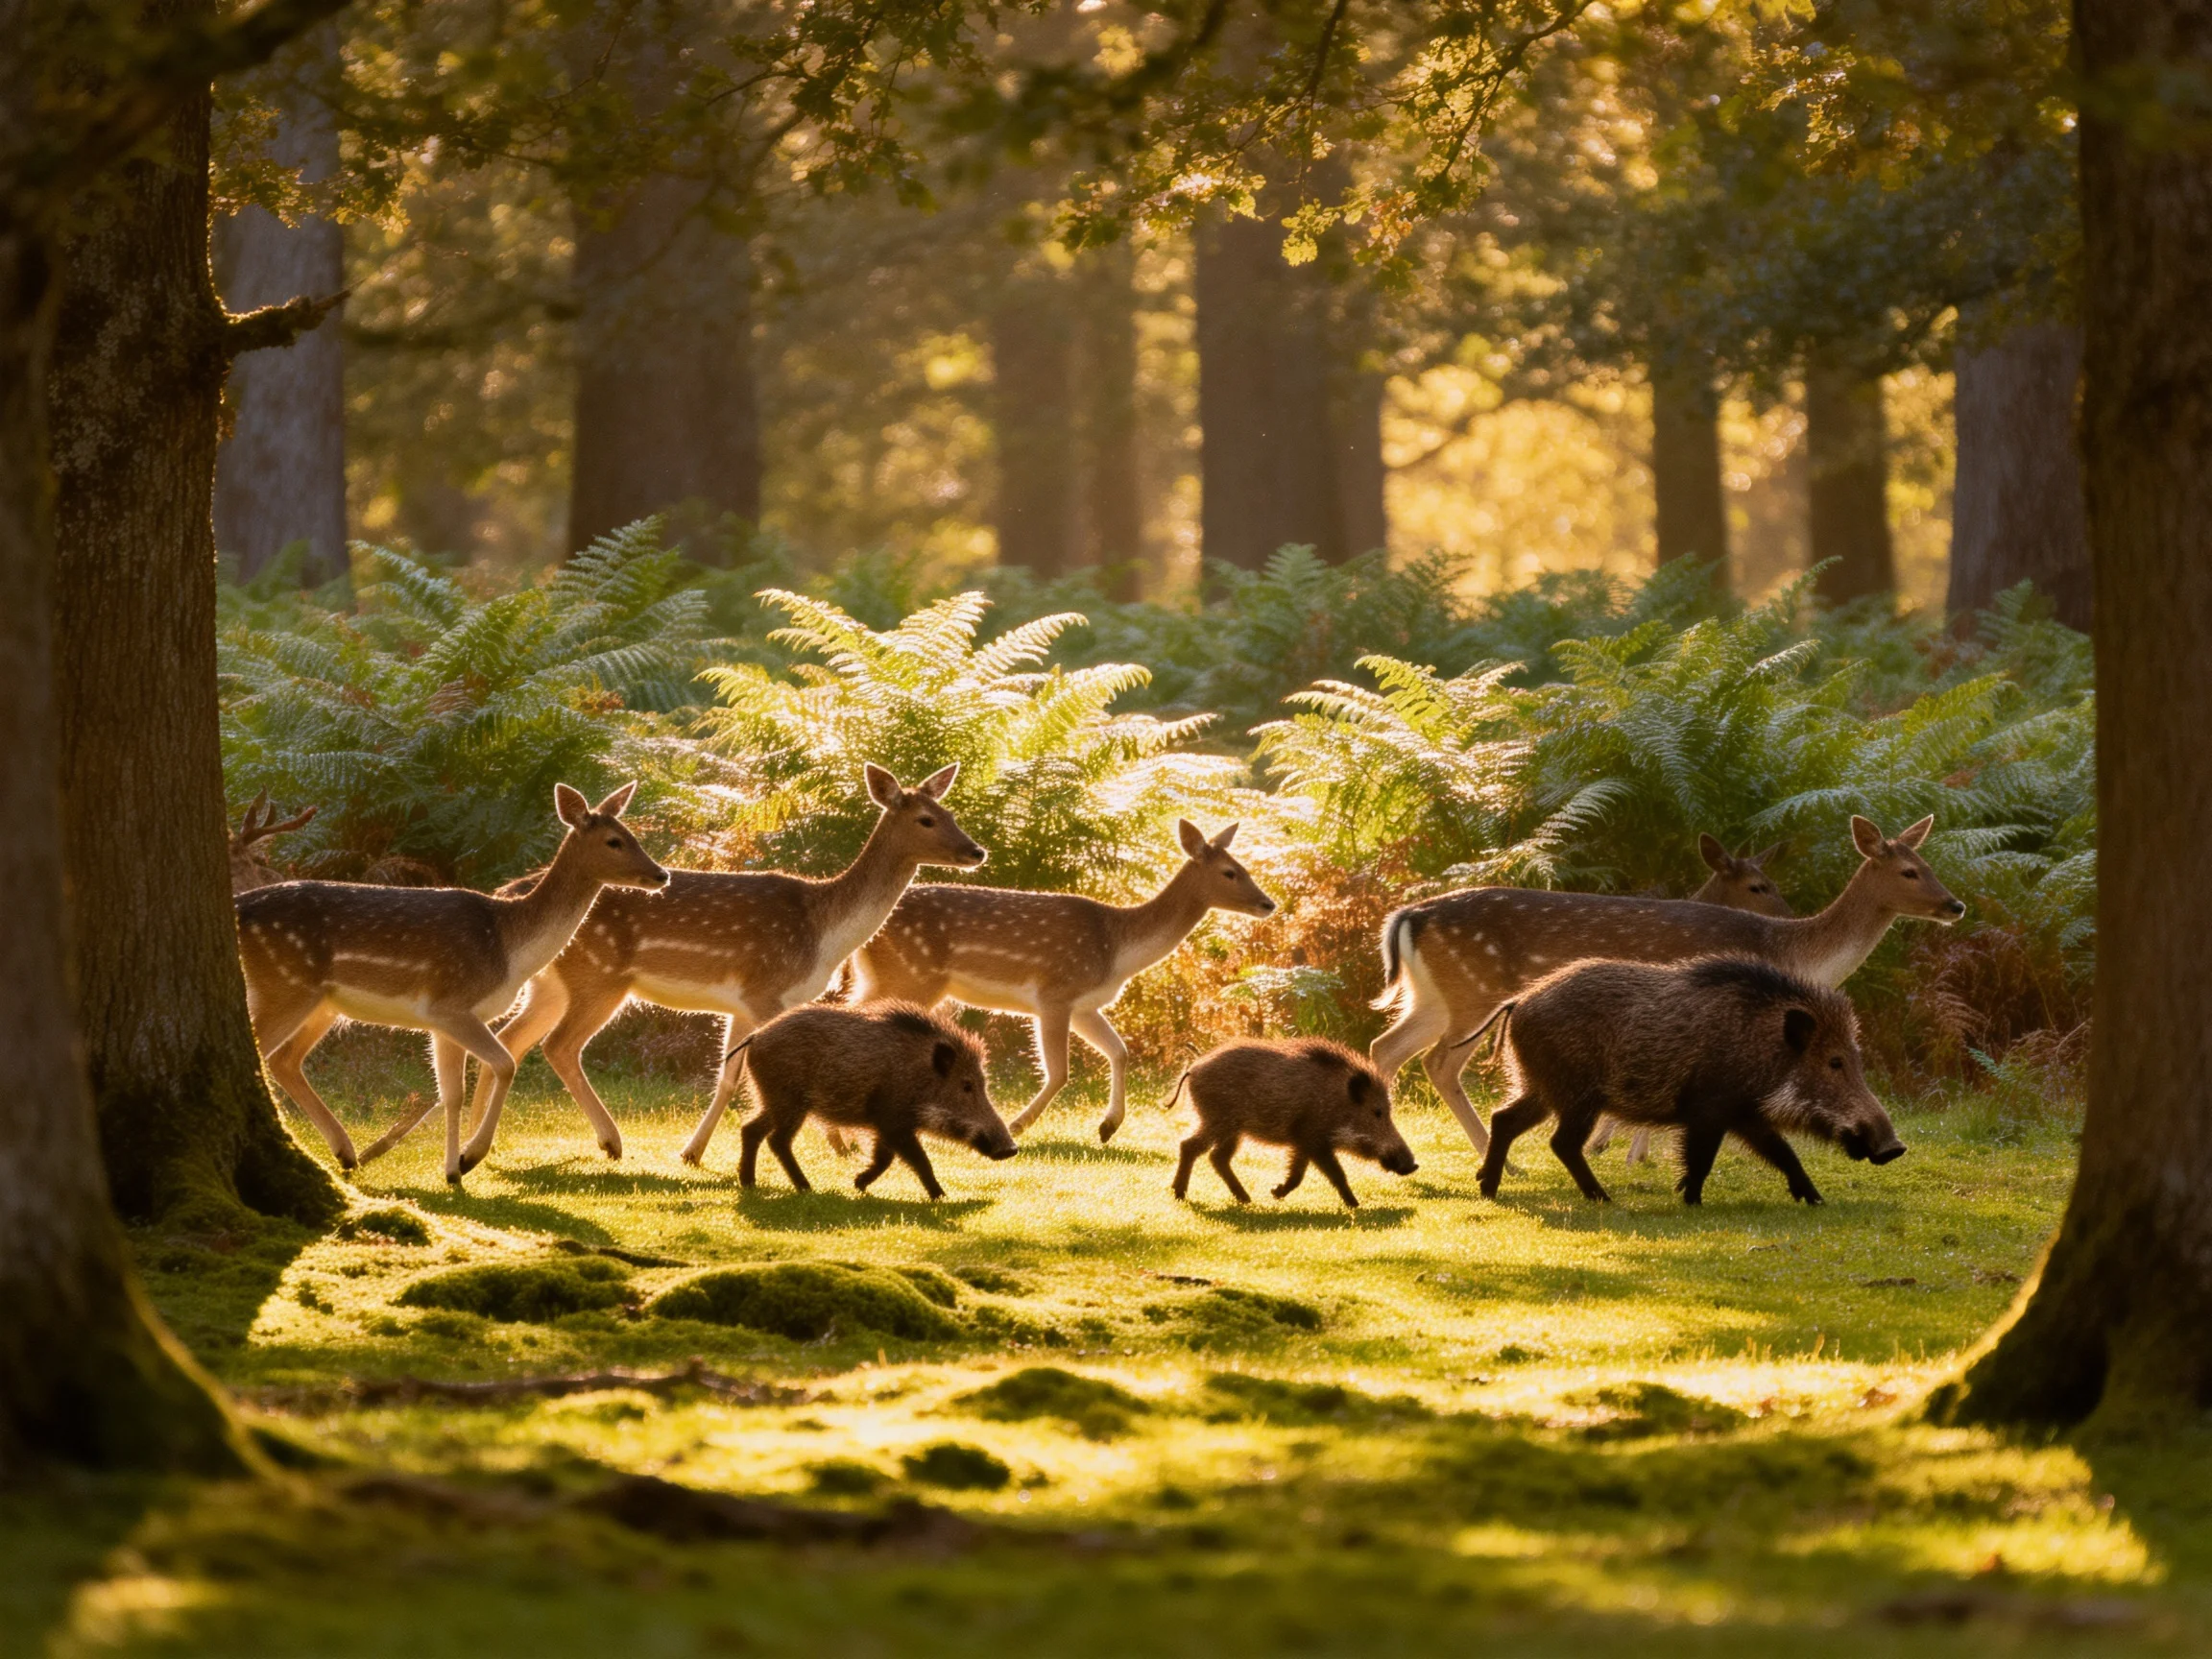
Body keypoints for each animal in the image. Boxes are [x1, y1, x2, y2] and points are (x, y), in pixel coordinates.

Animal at [235, 783, 668, 1184]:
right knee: (263, 1053)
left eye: (632, 834)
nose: (661, 875)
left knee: (284, 1060)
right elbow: (504, 1064)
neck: (509, 949)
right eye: (614, 841)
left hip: (323, 1004)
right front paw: (471, 1157)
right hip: (285, 985)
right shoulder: (452, 1005)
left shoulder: (442, 1021)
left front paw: (452, 1170)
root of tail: (238, 908)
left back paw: (346, 1153)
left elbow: (452, 1092)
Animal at [460, 763, 986, 1171]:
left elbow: (729, 1075)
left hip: (550, 983)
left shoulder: (744, 1003)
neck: (824, 931)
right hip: (599, 976)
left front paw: (695, 1152)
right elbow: (759, 1074)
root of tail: (510, 892)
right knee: (559, 1045)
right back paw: (608, 1142)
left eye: (950, 813)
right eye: (926, 819)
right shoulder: (766, 989)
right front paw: (838, 1144)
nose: (977, 851)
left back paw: (474, 1139)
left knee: (512, 1039)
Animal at [847, 819, 1277, 1144]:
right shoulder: (1056, 993)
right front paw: (1019, 1124)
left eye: (1246, 867)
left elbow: (1119, 1051)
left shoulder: (1086, 1005)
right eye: (1230, 872)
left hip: (883, 978)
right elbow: (1060, 1071)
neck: (1118, 950)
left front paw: (1108, 1126)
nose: (1268, 903)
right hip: (913, 976)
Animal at [1370, 815, 1964, 1156]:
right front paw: (1634, 1151)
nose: (1955, 905)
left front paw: (1625, 1148)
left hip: (1432, 998)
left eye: (1929, 862)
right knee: (1437, 1061)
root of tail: (1405, 917)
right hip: (1475, 992)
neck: (1786, 951)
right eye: (1910, 871)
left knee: (1387, 1046)